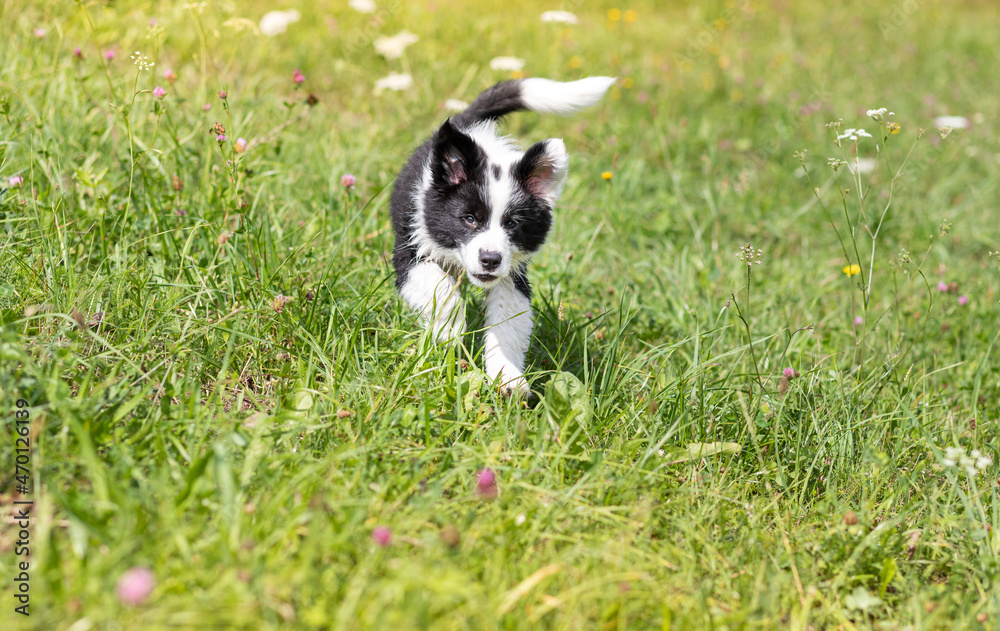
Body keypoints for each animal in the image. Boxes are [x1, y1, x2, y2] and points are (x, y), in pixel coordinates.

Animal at [388, 75, 608, 396]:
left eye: (512, 224)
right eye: (469, 219)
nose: (490, 260)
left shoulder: (512, 275)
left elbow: (508, 323)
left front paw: (509, 378)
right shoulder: (409, 251)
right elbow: (441, 292)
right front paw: (449, 334)